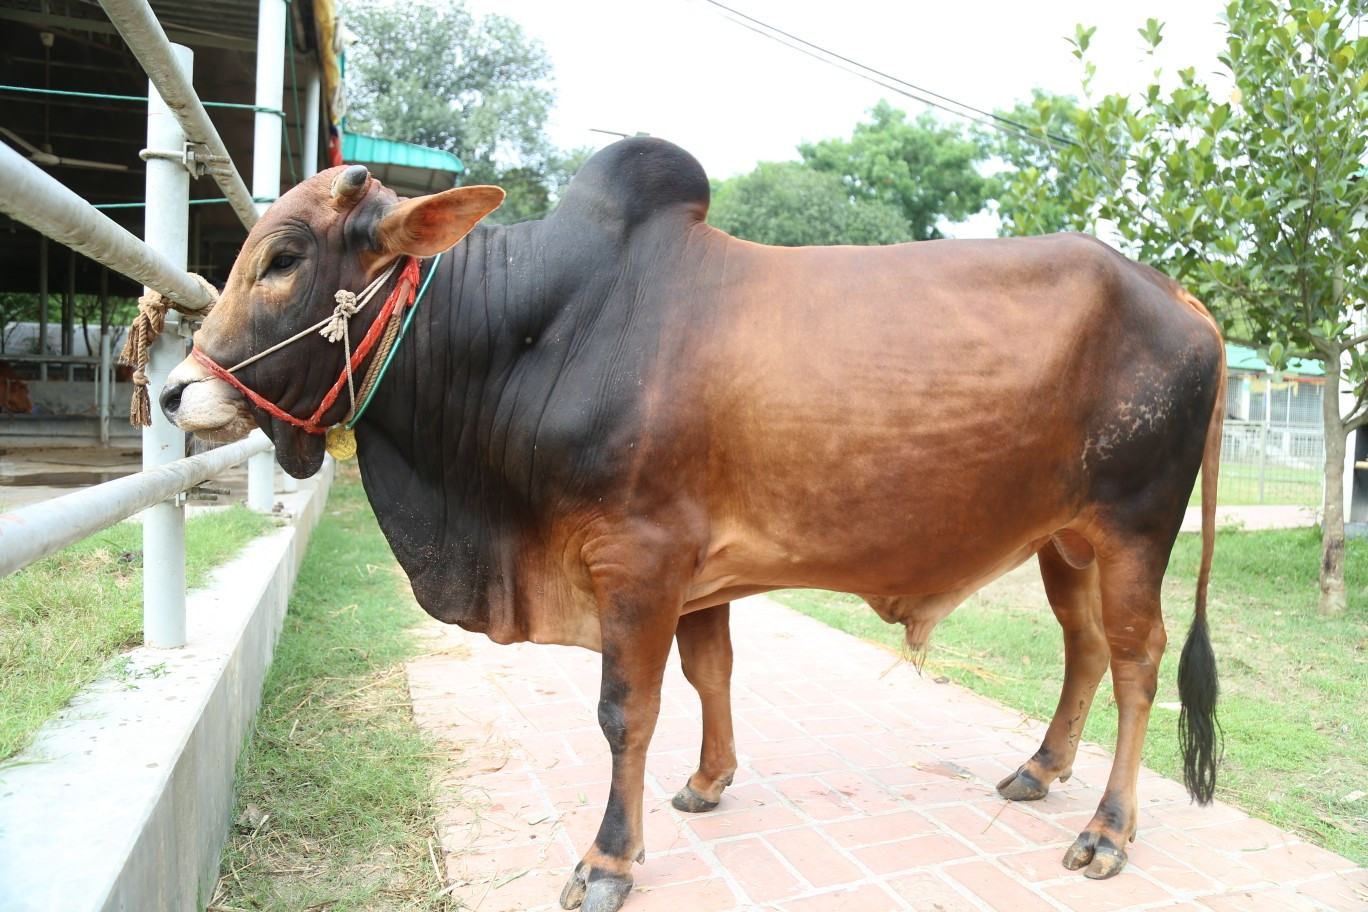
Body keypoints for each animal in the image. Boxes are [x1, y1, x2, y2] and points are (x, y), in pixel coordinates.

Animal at [161, 138, 1224, 912]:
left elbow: (625, 711)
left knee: (1138, 663)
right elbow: (711, 672)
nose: (173, 392)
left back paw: (1107, 830)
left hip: (1134, 530)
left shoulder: (638, 560)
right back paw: (1039, 770)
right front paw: (709, 783)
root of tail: (1180, 296)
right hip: (1064, 541)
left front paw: (608, 861)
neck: (534, 331)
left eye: (285, 258)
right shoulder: (698, 575)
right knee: (1084, 648)